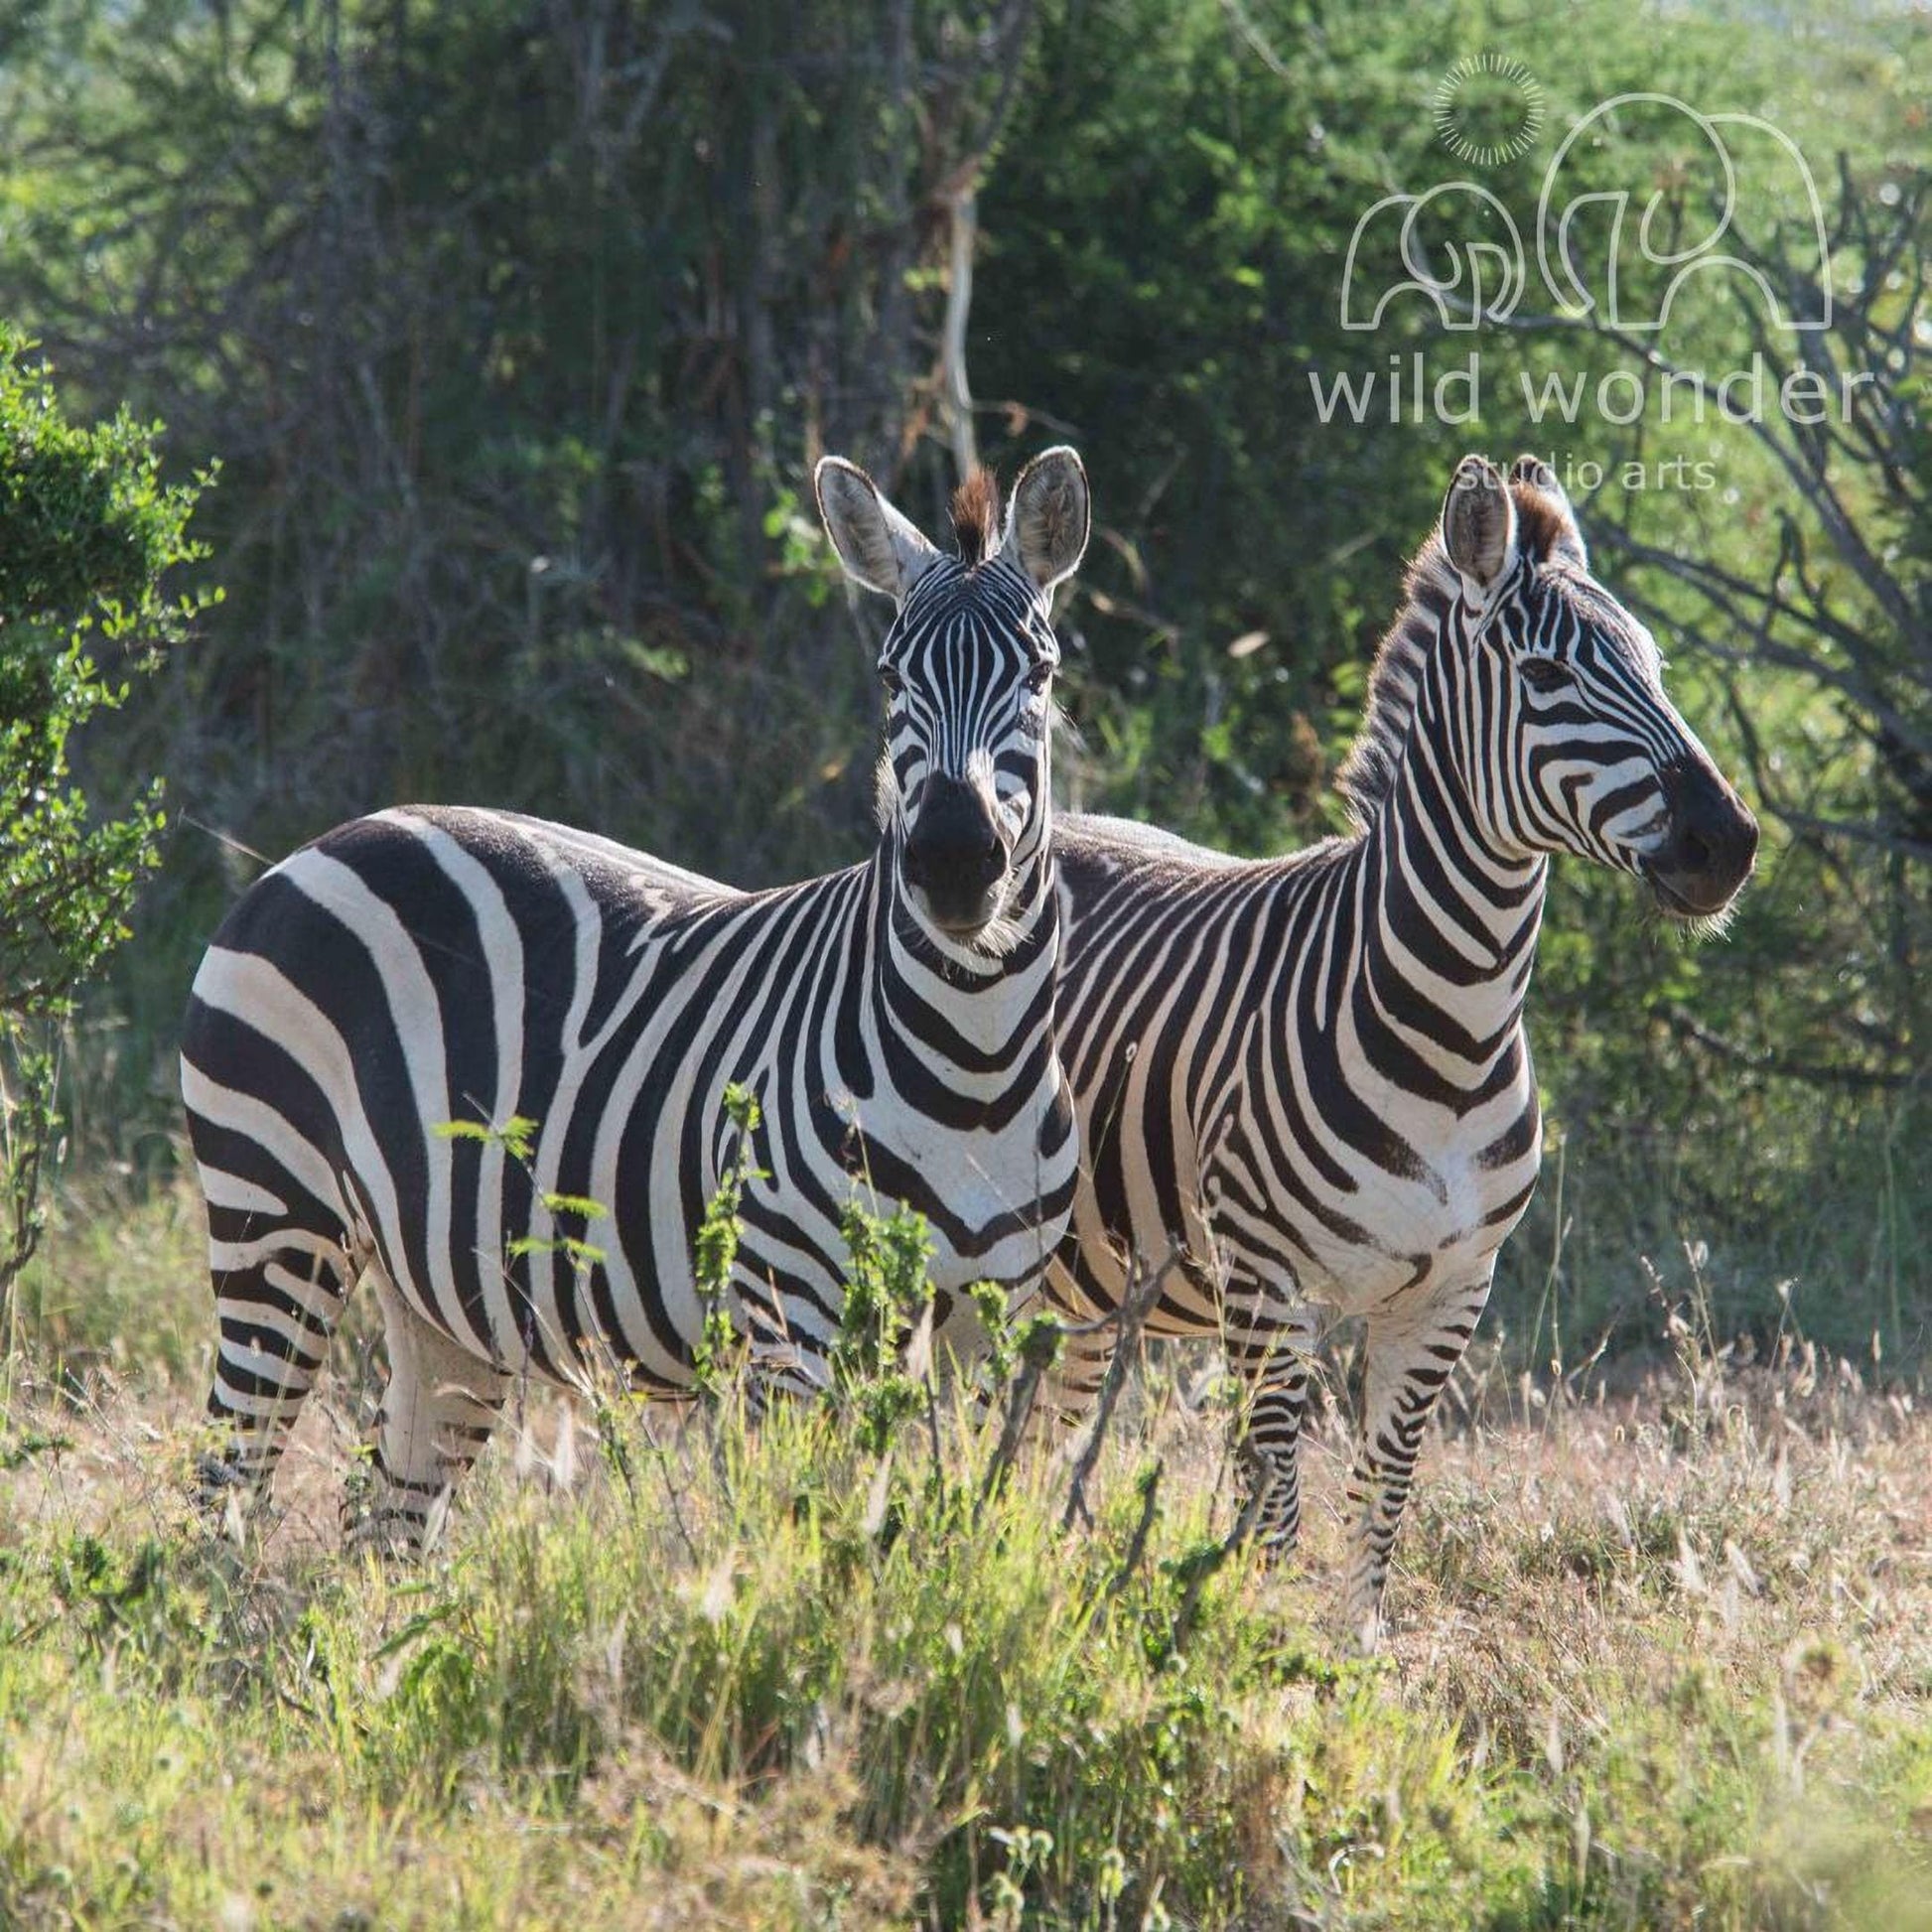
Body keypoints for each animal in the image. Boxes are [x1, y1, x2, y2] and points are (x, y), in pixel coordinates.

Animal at [183, 447, 1091, 1548]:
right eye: (889, 679)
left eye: (1038, 675)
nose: (955, 864)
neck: (974, 1065)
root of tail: (317, 846)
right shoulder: (787, 1326)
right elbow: (795, 1544)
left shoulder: (983, 1332)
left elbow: (940, 1534)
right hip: (276, 1215)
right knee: (222, 1490)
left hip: (437, 1296)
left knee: (383, 1519)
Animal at [1045, 453, 1758, 1640]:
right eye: (1545, 674)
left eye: (1656, 667)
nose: (1728, 845)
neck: (1454, 1036)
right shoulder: (1265, 1284)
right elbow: (1276, 1501)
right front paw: (1266, 1651)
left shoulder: (1451, 1293)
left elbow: (1381, 1491)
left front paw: (1356, 1652)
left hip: (1085, 1275)